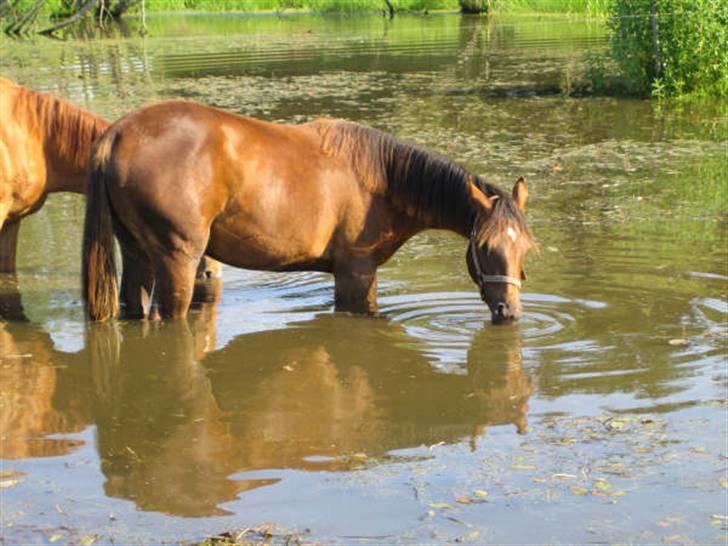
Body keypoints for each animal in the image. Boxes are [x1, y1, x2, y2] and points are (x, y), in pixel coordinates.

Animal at [82, 100, 532, 320]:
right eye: (485, 247)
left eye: (525, 248)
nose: (510, 311)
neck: (381, 178)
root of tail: (117, 133)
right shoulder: (356, 272)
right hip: (177, 261)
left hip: (138, 254)